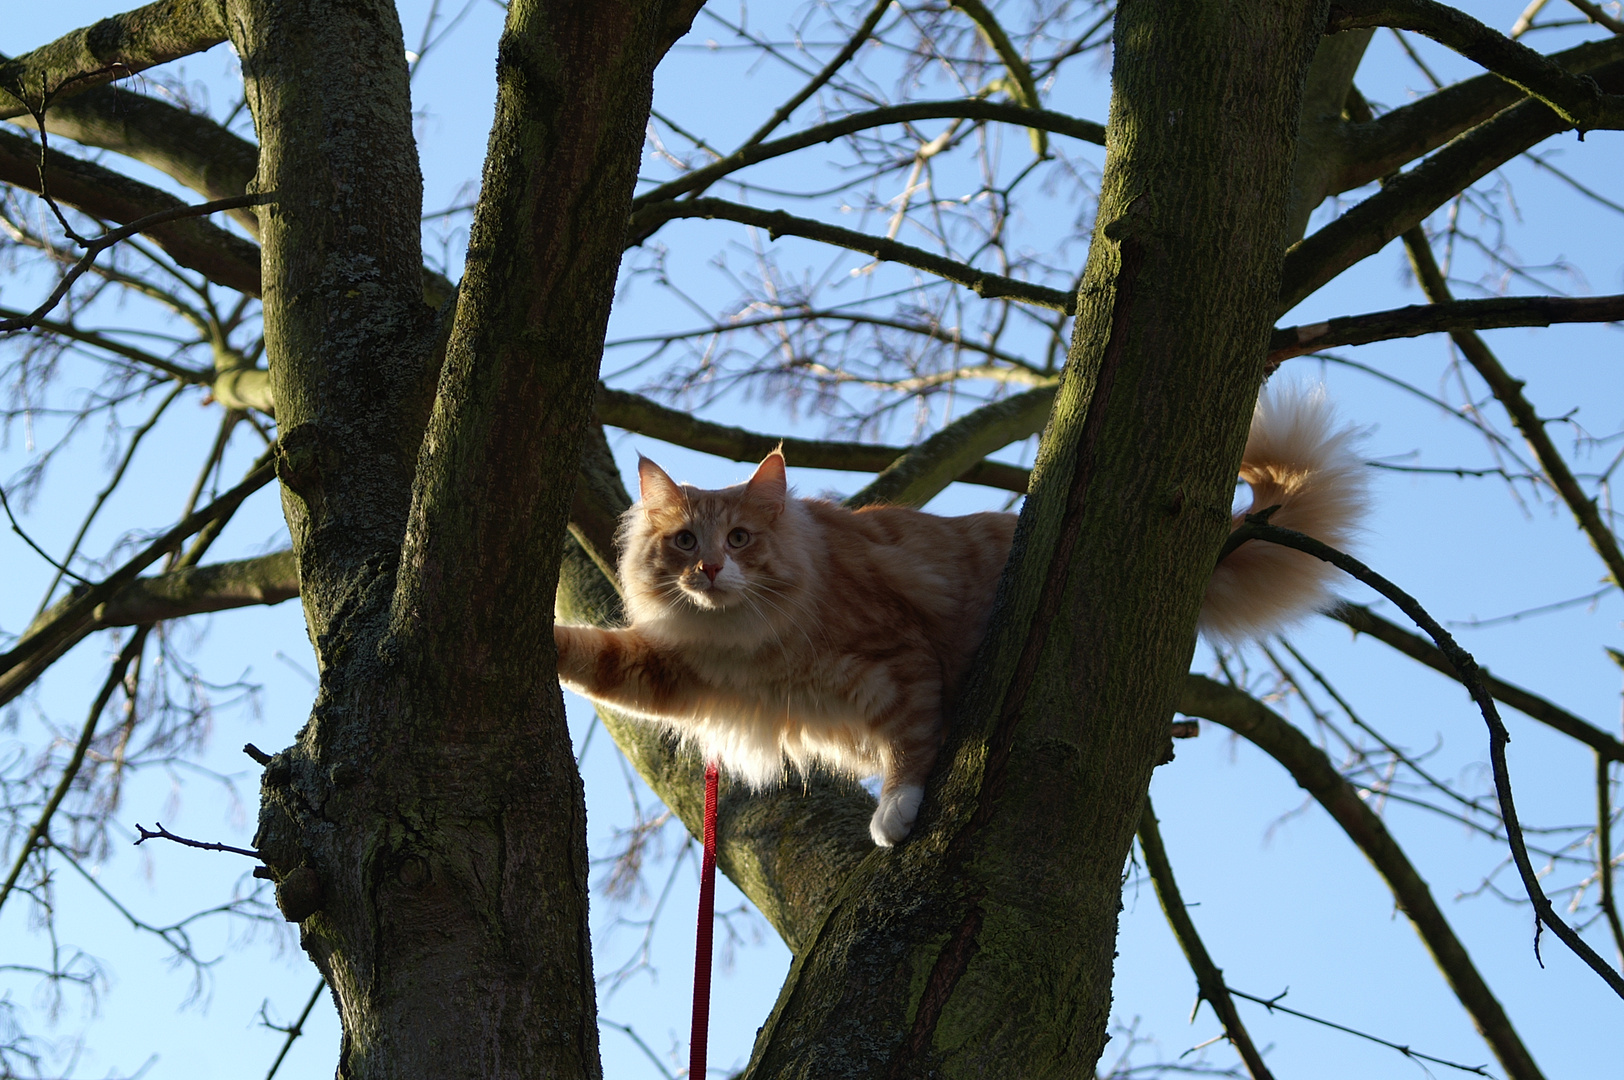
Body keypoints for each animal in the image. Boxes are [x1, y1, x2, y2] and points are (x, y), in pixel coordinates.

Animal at [552, 383, 1364, 844]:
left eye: (742, 539)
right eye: (686, 541)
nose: (712, 570)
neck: (748, 638)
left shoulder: (896, 660)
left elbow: (912, 748)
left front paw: (894, 816)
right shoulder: (682, 672)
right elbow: (596, 659)